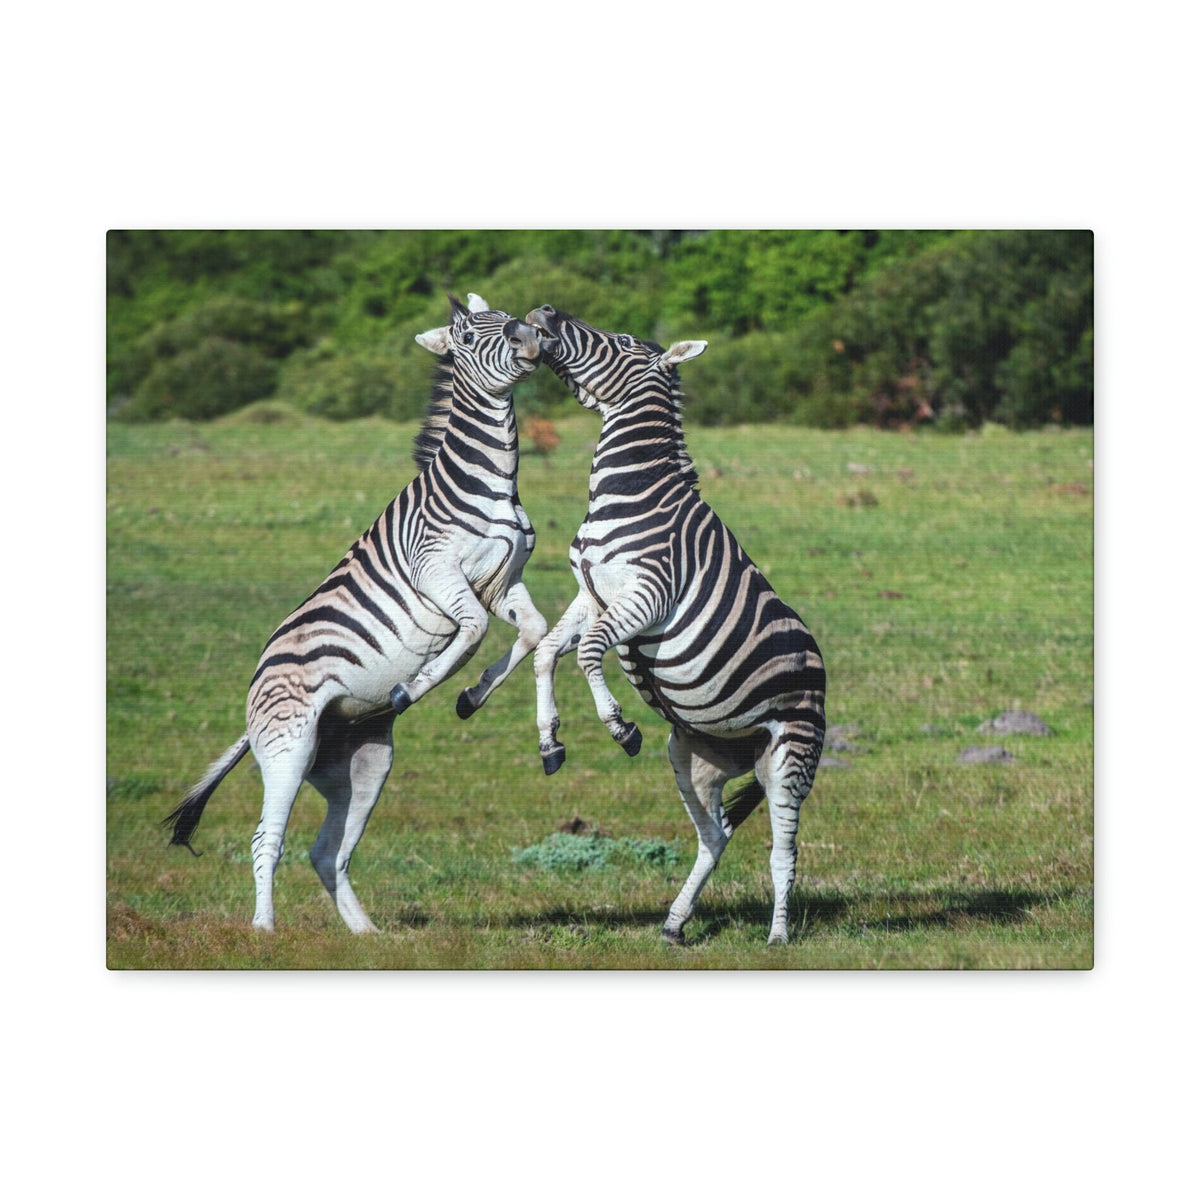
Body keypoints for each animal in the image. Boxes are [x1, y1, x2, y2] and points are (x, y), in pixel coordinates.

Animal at [162, 294, 550, 933]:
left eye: (508, 316)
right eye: (471, 336)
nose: (531, 338)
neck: (492, 482)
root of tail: (256, 685)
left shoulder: (503, 582)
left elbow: (533, 632)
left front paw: (475, 699)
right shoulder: (437, 573)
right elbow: (470, 632)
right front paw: (416, 686)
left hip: (361, 762)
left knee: (329, 851)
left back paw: (366, 934)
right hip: (288, 748)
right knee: (266, 838)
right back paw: (264, 931)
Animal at [525, 305, 826, 946]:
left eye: (619, 340)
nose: (542, 314)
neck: (630, 489)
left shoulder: (647, 594)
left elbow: (587, 652)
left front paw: (618, 725)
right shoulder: (590, 593)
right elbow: (546, 653)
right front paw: (550, 740)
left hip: (791, 754)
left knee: (783, 850)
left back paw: (778, 937)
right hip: (695, 756)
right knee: (714, 835)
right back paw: (673, 923)